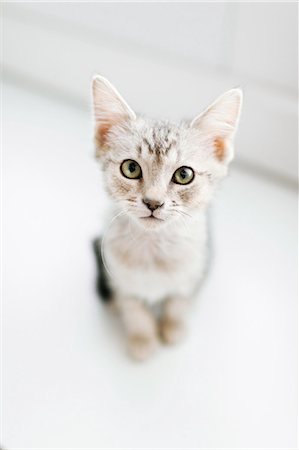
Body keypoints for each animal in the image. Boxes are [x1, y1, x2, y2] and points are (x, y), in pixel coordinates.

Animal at [92, 75, 243, 360]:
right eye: (131, 168)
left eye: (184, 175)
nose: (153, 202)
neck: (153, 249)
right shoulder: (119, 275)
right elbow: (133, 306)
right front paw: (142, 336)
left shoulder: (197, 266)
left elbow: (179, 301)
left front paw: (173, 327)